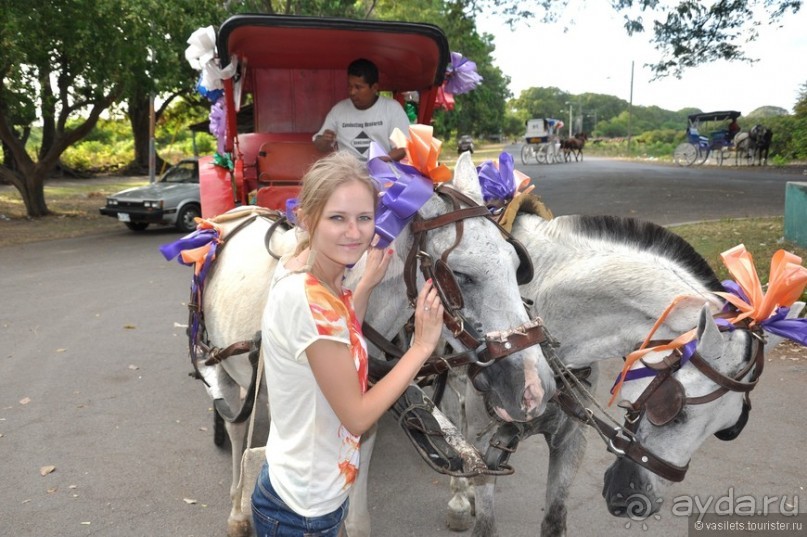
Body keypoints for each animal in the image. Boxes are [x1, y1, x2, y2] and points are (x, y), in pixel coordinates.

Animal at [199, 151, 560, 536]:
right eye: (460, 275)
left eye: (517, 263)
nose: (535, 389)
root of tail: (243, 213)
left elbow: (357, 518)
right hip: (221, 365)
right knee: (236, 427)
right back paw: (237, 509)